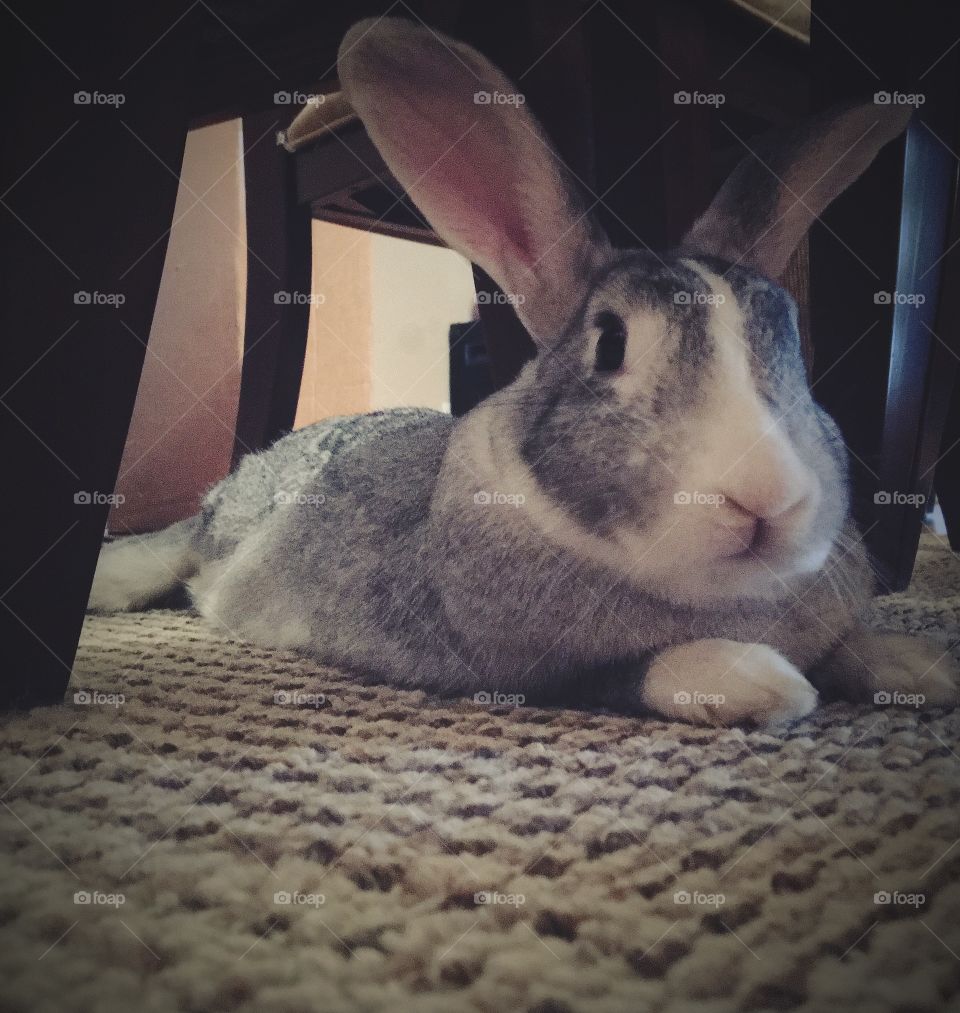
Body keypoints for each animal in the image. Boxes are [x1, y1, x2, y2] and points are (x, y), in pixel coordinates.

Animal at [88, 16, 959, 727]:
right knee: (179, 552)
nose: (768, 498)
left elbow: (851, 645)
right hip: (213, 537)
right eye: (610, 344)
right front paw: (756, 680)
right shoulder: (513, 664)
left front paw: (921, 665)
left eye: (791, 340)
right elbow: (633, 674)